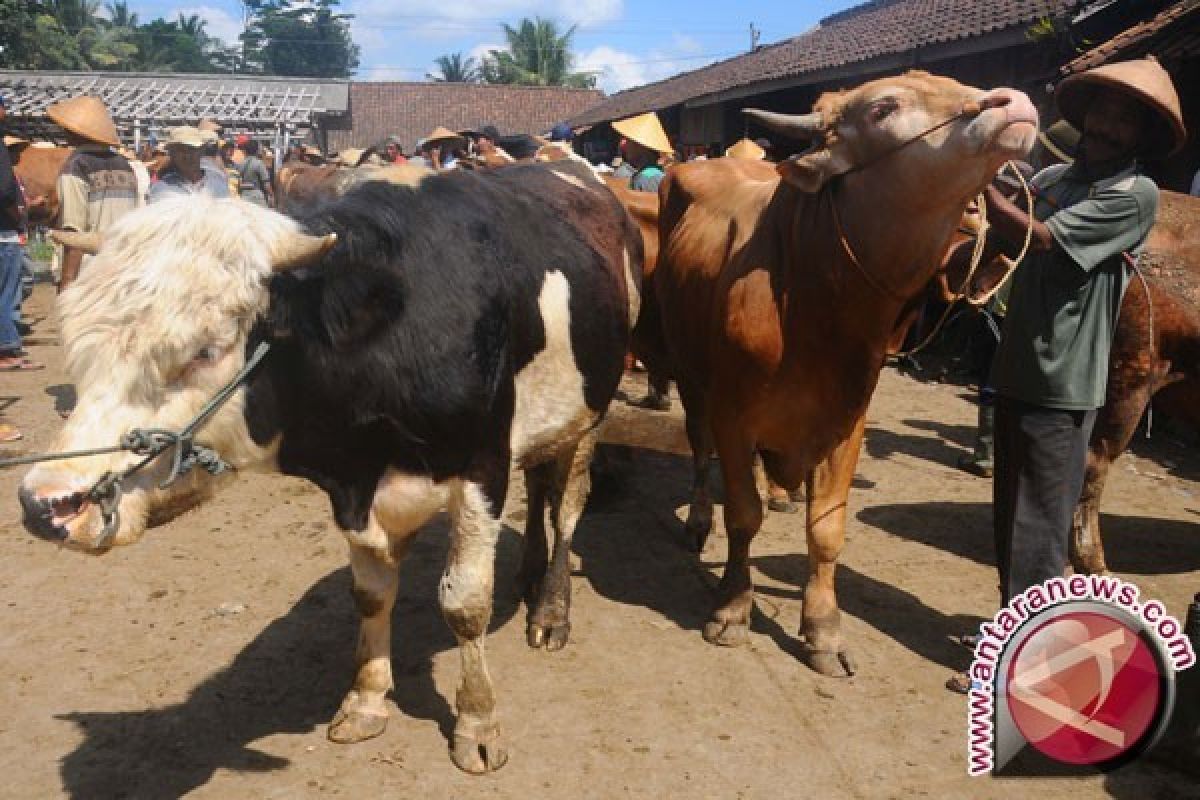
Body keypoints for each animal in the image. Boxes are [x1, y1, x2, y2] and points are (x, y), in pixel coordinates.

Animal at [18, 159, 643, 772]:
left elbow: (465, 603)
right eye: (82, 347)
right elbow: (370, 594)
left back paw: (551, 610)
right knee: (538, 486)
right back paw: (530, 573)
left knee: (565, 508)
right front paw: (366, 701)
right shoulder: (354, 491)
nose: (46, 503)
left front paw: (478, 723)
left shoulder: (481, 467)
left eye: (205, 350)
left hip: (592, 413)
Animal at [652, 70, 1036, 676]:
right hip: (690, 376)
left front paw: (824, 628)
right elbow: (741, 514)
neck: (815, 300)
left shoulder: (846, 422)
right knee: (697, 448)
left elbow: (827, 530)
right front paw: (733, 608)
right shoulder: (733, 415)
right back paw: (696, 519)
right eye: (883, 108)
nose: (1014, 102)